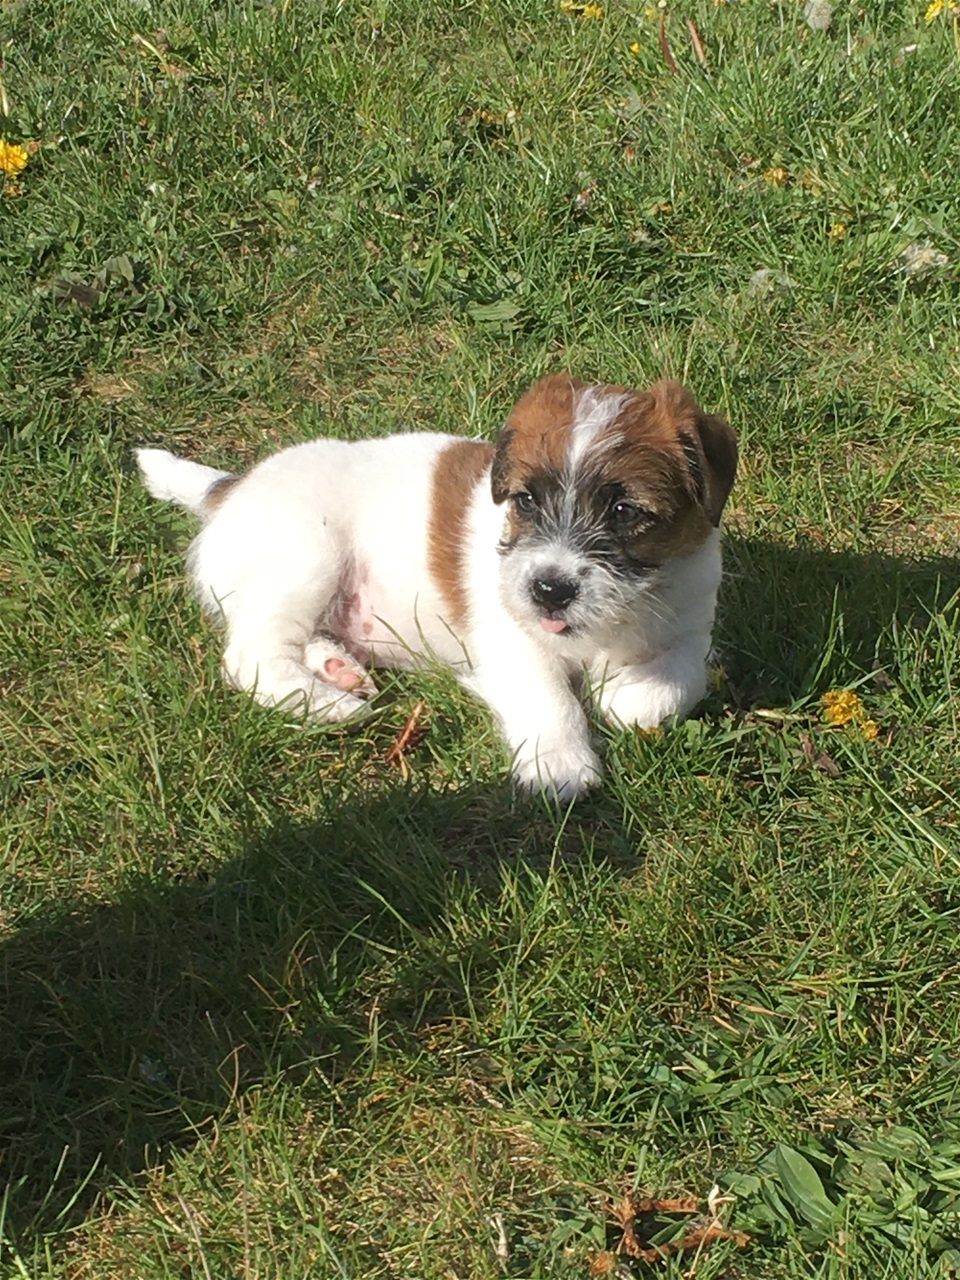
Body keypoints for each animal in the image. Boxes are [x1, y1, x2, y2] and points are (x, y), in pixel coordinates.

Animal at [137, 374, 737, 800]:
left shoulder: (694, 626)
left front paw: (627, 694)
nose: (549, 591)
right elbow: (550, 698)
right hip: (306, 556)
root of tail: (232, 489)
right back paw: (329, 705)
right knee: (252, 655)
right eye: (525, 501)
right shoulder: (511, 641)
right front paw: (560, 765)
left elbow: (676, 681)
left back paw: (337, 668)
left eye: (623, 512)